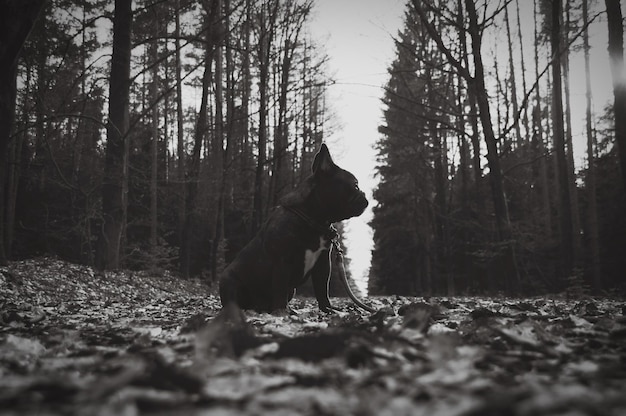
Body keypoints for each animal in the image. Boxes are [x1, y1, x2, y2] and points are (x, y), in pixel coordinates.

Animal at [218, 143, 368, 312]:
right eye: (355, 186)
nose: (365, 197)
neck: (312, 219)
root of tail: (257, 307)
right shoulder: (283, 262)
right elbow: (280, 288)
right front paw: (282, 312)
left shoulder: (323, 264)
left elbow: (322, 289)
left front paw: (328, 309)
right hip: (228, 281)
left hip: (292, 290)